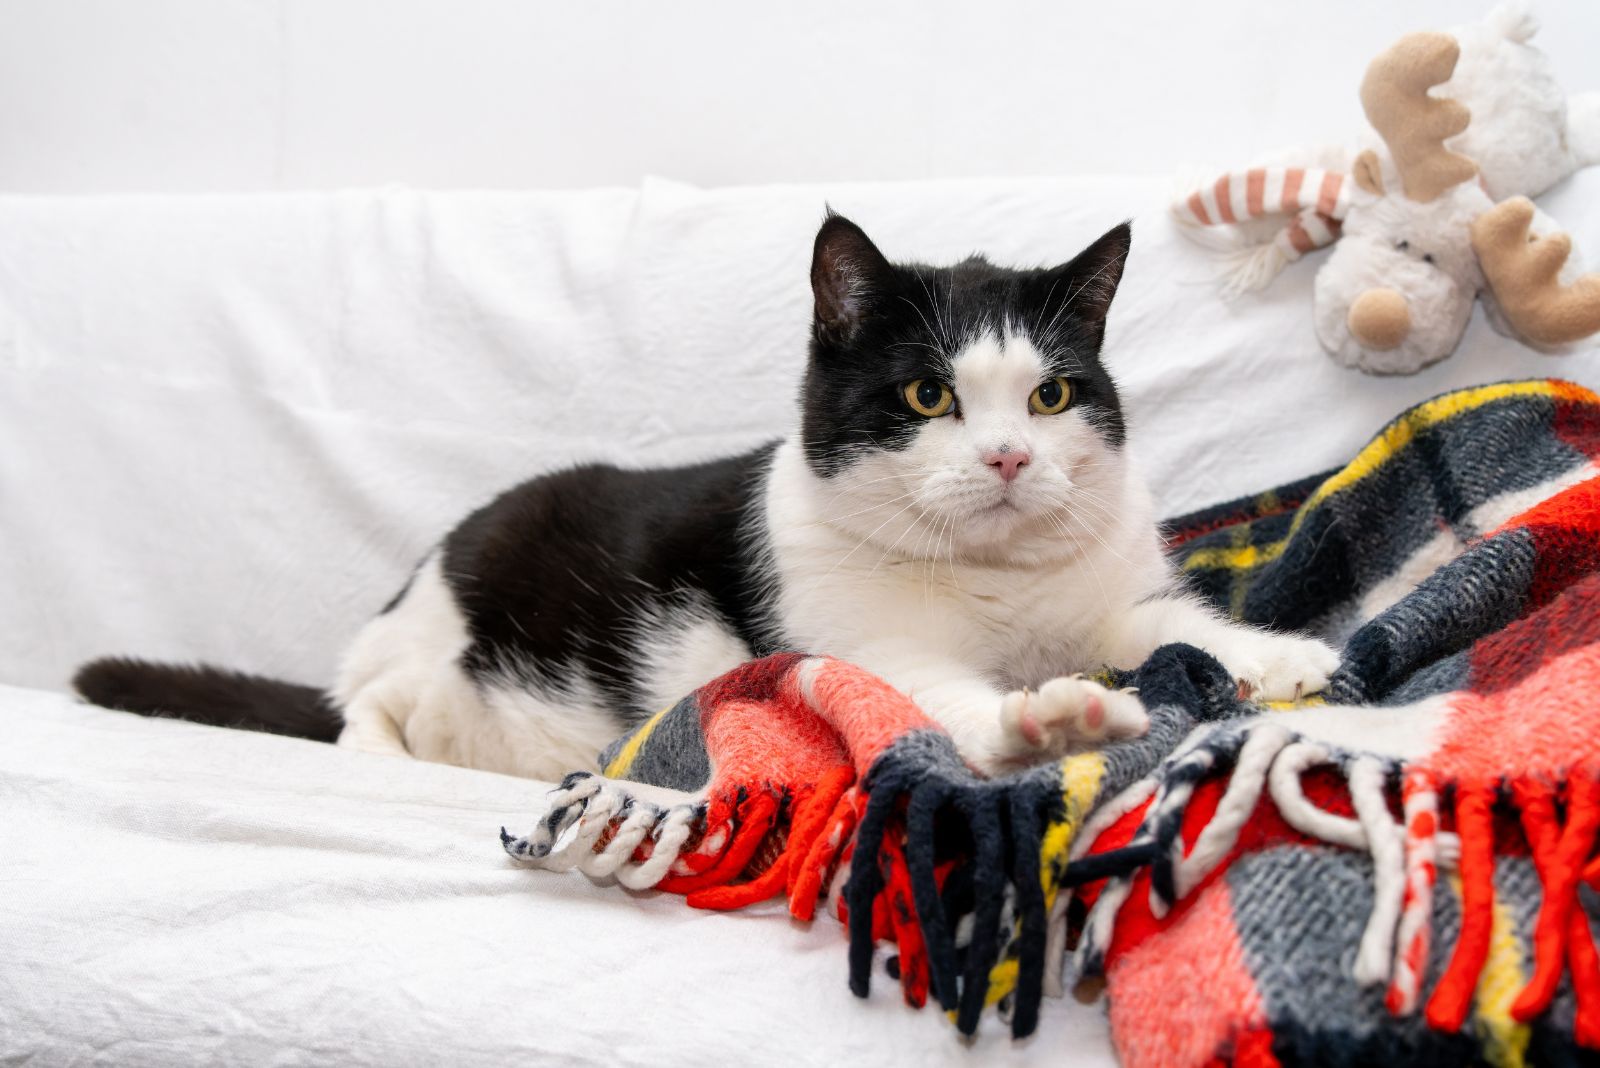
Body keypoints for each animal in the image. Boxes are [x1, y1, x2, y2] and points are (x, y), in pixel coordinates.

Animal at [81, 212, 1344, 777]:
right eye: (929, 394)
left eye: (1050, 396)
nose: (1005, 462)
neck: (996, 590)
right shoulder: (862, 644)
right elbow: (933, 694)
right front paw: (1051, 719)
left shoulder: (1110, 599)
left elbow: (1173, 623)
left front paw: (1284, 656)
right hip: (448, 655)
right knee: (373, 711)